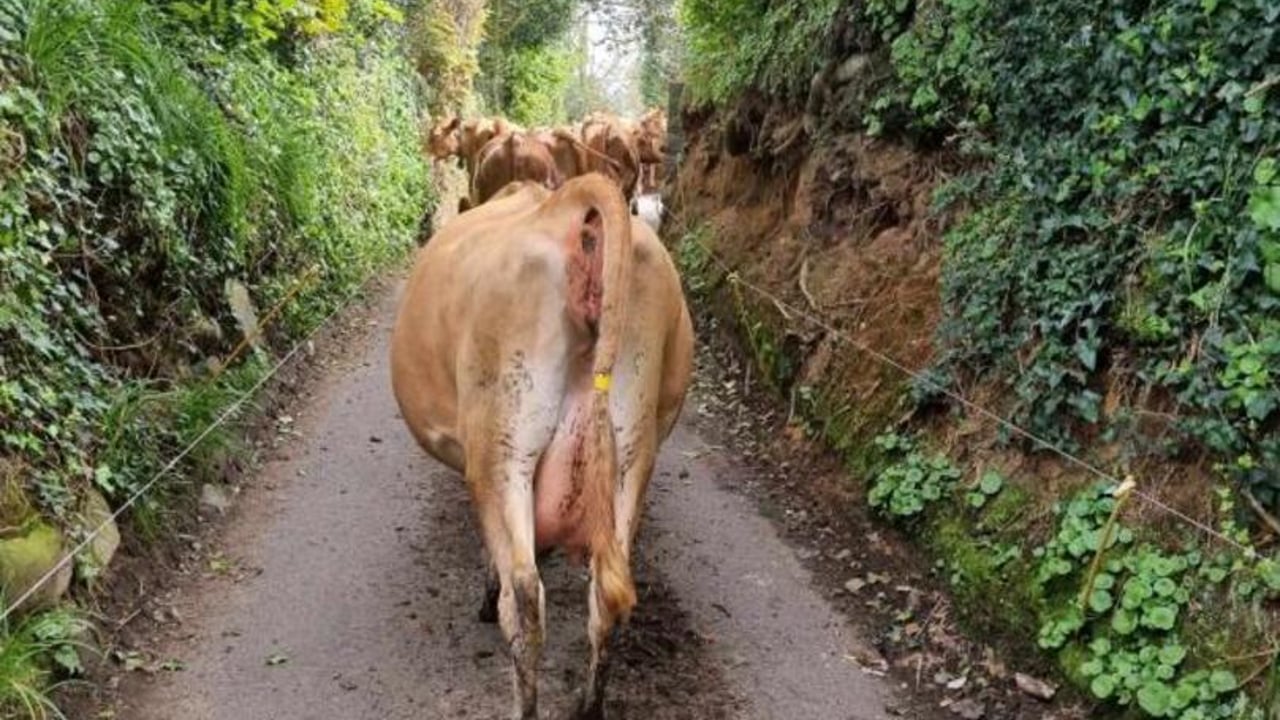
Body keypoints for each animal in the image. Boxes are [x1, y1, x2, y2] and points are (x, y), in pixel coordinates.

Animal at [390, 174, 695, 719]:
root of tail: (570, 207)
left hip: (503, 449)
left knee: (526, 597)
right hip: (633, 448)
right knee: (607, 597)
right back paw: (588, 706)